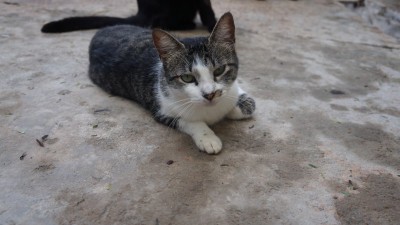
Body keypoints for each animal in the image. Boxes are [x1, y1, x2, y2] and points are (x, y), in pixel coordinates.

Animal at [88, 11, 255, 153]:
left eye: (219, 70)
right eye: (187, 77)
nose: (210, 94)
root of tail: (102, 31)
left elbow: (245, 102)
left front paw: (238, 104)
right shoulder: (160, 109)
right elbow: (188, 121)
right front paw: (208, 138)